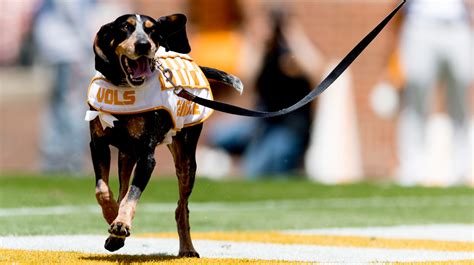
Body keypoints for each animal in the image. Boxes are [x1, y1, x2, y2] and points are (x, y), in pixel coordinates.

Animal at [88, 13, 243, 256]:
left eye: (153, 30)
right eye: (124, 27)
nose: (143, 45)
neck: (123, 86)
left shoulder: (146, 156)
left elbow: (132, 194)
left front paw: (120, 223)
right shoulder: (98, 144)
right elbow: (103, 190)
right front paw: (113, 216)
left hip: (186, 160)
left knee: (181, 208)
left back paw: (187, 248)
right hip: (126, 155)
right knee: (122, 189)